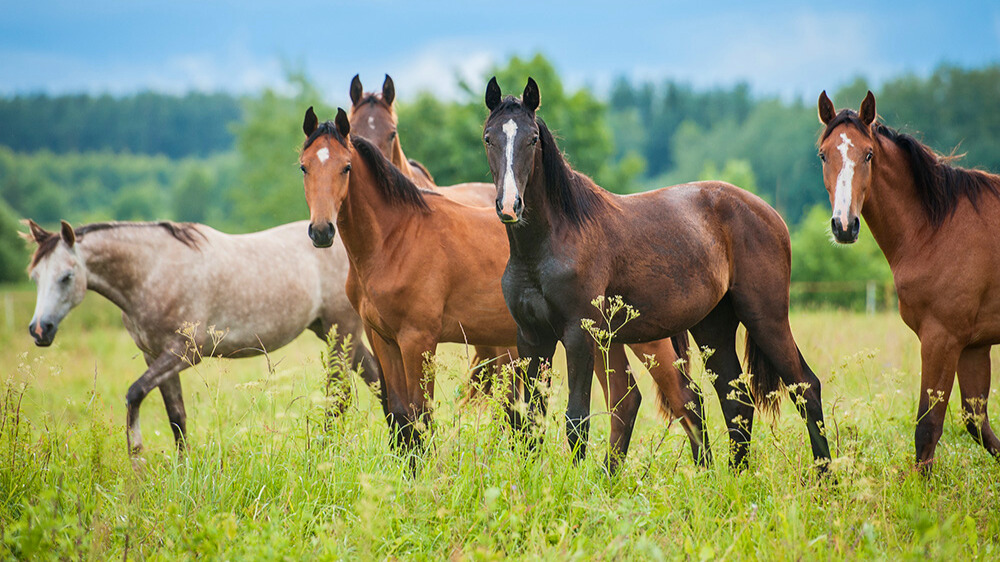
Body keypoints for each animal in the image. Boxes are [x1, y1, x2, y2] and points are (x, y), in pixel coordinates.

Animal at [23, 219, 376, 456]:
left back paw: (326, 452)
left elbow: (134, 393)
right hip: (336, 334)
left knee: (340, 396)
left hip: (341, 332)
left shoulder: (184, 353)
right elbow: (176, 417)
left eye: (67, 276)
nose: (40, 330)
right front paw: (183, 471)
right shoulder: (155, 355)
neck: (153, 271)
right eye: (35, 277)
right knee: (374, 379)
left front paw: (137, 458)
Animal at [298, 107, 712, 466]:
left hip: (647, 341)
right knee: (626, 402)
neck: (396, 238)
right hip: (606, 338)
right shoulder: (382, 338)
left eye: (346, 167)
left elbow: (420, 416)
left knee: (686, 400)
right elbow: (400, 417)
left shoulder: (418, 340)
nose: (321, 231)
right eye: (304, 167)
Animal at [484, 77, 836, 472]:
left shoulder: (578, 335)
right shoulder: (532, 338)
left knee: (805, 387)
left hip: (766, 317)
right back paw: (737, 477)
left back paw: (826, 476)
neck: (548, 244)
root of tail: (770, 214)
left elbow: (576, 418)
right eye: (488, 138)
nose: (510, 206)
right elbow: (530, 417)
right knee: (736, 400)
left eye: (532, 139)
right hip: (713, 326)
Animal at [816, 91, 1000, 468]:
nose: (844, 226)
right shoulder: (974, 346)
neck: (935, 229)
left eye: (868, 154)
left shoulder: (941, 340)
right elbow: (977, 424)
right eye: (824, 155)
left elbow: (927, 429)